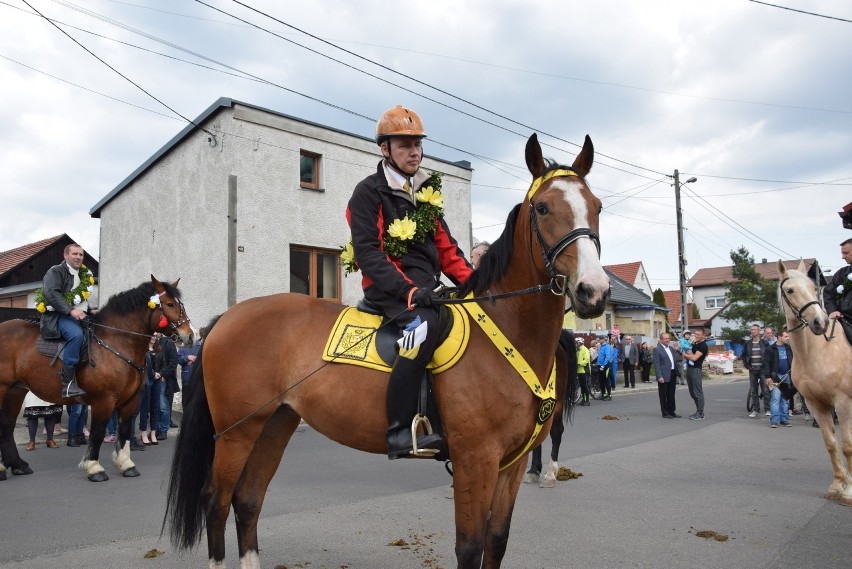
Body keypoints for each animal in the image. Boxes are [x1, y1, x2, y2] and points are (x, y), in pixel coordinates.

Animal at [0, 278, 191, 482]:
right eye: (169, 304)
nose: (190, 335)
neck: (117, 342)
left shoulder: (132, 400)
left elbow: (125, 430)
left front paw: (126, 465)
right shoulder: (104, 400)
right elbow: (98, 432)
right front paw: (94, 468)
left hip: (16, 390)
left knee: (7, 425)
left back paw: (17, 465)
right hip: (3, 388)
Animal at [163, 132, 608, 564]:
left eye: (597, 207)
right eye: (544, 208)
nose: (594, 291)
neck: (505, 333)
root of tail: (227, 318)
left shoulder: (511, 464)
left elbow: (496, 542)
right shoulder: (475, 460)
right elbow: (470, 547)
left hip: (274, 425)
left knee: (248, 500)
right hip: (236, 434)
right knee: (216, 503)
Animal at [780, 260, 852, 504]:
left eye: (813, 288)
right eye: (790, 290)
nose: (819, 322)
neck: (816, 351)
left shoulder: (843, 403)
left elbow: (847, 445)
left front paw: (849, 491)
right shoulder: (816, 404)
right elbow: (830, 443)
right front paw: (838, 484)